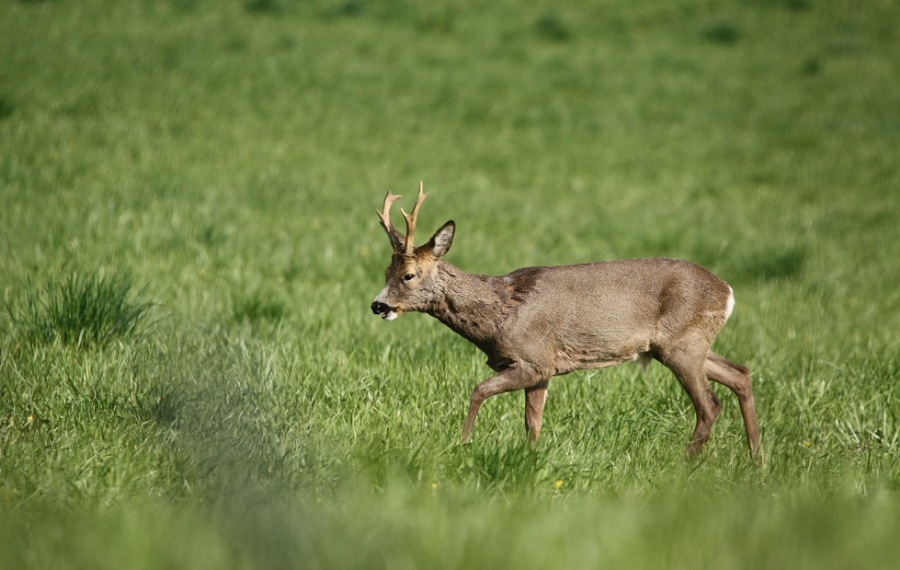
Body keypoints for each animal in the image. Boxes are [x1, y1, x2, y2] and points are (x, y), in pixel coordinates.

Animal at [371, 182, 760, 460]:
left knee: (709, 405)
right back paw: (757, 460)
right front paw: (529, 459)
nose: (378, 305)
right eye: (386, 271)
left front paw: (462, 444)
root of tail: (727, 291)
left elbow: (479, 390)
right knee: (740, 374)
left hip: (682, 343)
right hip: (688, 345)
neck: (500, 313)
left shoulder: (533, 359)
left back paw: (684, 464)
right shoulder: (542, 370)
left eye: (408, 275)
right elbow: (532, 423)